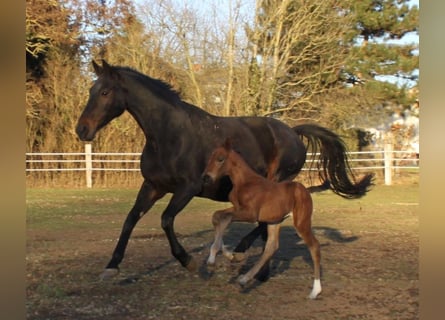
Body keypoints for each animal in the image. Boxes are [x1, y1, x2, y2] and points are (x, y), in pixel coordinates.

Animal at [75, 60, 372, 280]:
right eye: (91, 90)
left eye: (105, 92)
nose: (82, 130)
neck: (169, 135)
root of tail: (293, 132)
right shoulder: (153, 186)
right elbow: (130, 219)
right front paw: (111, 266)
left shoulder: (188, 188)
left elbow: (166, 220)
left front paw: (189, 262)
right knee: (267, 226)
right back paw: (254, 267)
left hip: (276, 182)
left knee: (266, 222)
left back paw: (244, 257)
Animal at [203, 141, 320, 300]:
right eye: (210, 157)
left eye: (220, 159)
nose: (206, 178)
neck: (245, 182)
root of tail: (305, 190)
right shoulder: (237, 208)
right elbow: (217, 216)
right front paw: (229, 255)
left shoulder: (250, 214)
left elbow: (225, 219)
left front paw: (217, 257)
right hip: (274, 221)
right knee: (272, 247)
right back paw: (244, 279)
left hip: (301, 223)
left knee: (314, 246)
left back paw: (315, 291)